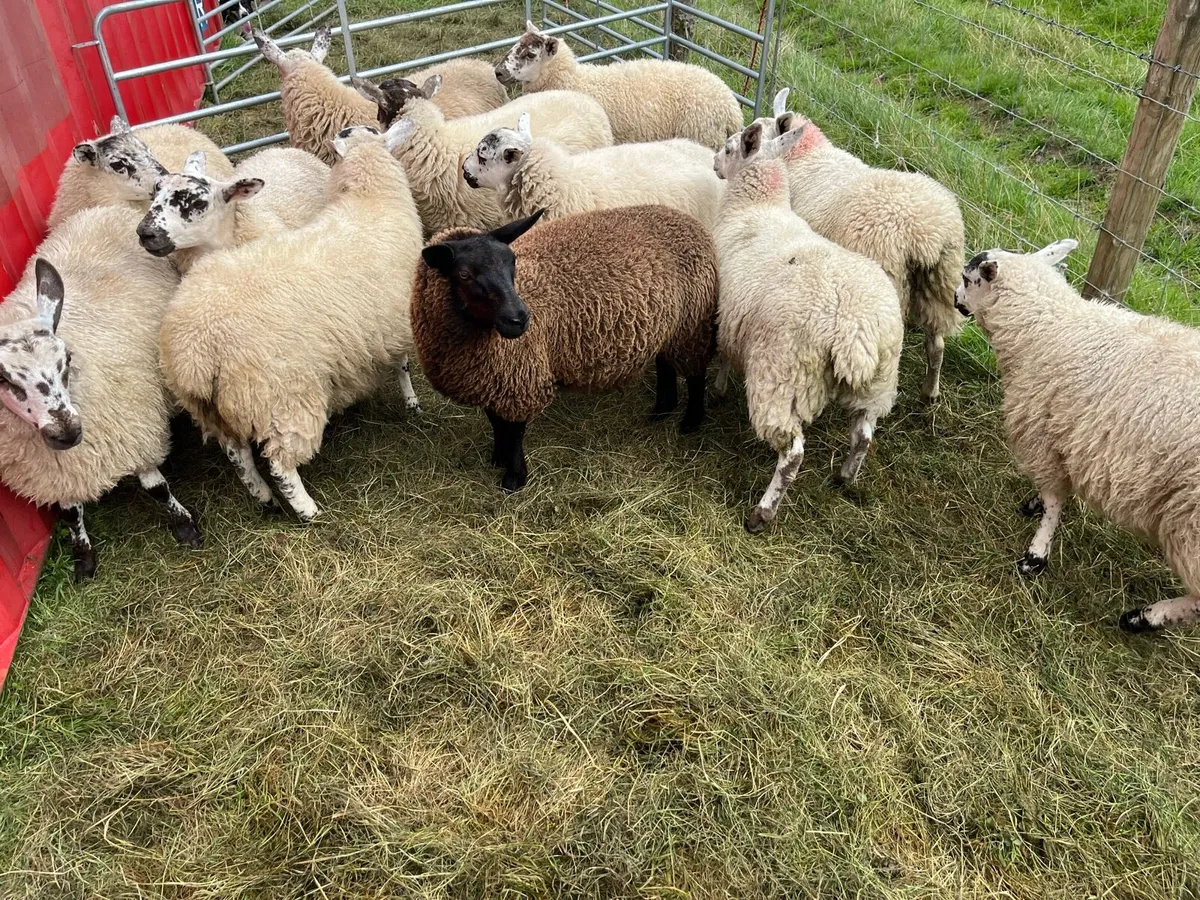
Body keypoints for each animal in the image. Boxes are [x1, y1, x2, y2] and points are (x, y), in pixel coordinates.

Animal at [0, 205, 201, 580]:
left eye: (66, 358)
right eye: (3, 379)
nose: (67, 432)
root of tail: (103, 209)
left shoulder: (137, 434)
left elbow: (157, 489)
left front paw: (185, 526)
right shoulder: (58, 476)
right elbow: (70, 514)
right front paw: (83, 557)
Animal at [159, 126, 424, 522]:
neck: (370, 199)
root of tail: (194, 348)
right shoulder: (394, 322)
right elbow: (402, 365)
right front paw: (412, 402)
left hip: (217, 406)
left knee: (237, 453)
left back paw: (263, 497)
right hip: (281, 396)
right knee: (280, 462)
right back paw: (306, 509)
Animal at [411, 204, 718, 493]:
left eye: (512, 263)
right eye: (463, 274)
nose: (519, 318)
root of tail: (684, 218)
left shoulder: (521, 378)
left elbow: (515, 432)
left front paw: (514, 477)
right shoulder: (492, 380)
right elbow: (496, 422)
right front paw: (497, 458)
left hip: (692, 324)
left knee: (695, 374)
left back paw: (691, 421)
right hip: (668, 327)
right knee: (666, 365)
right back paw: (662, 411)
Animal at [713, 124, 903, 533]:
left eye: (730, 147)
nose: (714, 163)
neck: (758, 205)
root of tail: (855, 331)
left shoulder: (724, 314)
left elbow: (722, 357)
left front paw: (717, 389)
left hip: (782, 377)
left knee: (793, 454)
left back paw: (762, 513)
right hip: (878, 385)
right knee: (864, 436)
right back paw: (844, 478)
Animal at [954, 240, 1200, 633]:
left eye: (967, 278)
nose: (954, 298)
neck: (1048, 324)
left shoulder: (1040, 434)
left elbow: (1055, 498)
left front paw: (1036, 554)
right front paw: (1035, 505)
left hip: (1190, 522)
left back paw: (1145, 617)